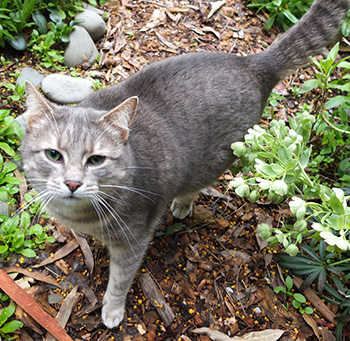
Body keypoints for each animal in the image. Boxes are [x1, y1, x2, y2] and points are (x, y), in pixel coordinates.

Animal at [21, 0, 350, 330]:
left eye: (96, 160)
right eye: (54, 155)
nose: (72, 183)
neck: (82, 216)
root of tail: (253, 64)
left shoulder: (134, 241)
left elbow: (120, 280)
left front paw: (112, 311)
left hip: (211, 162)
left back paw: (181, 204)